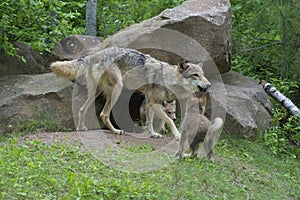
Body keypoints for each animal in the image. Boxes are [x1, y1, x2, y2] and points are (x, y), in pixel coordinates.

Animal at [51, 47, 211, 141]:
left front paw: (153, 134)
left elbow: (150, 121)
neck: (170, 79)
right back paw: (116, 131)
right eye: (195, 75)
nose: (209, 85)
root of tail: (95, 54)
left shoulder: (149, 103)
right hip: (116, 90)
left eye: (203, 74)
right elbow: (169, 121)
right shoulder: (154, 103)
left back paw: (81, 129)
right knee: (103, 114)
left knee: (81, 109)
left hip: (95, 94)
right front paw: (177, 135)